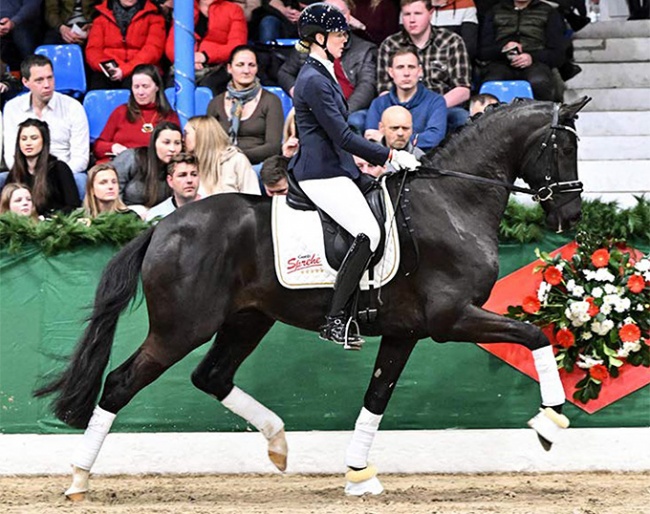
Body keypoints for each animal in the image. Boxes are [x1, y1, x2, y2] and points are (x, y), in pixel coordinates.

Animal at [38, 97, 588, 496]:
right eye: (562, 147)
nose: (572, 215)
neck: (451, 203)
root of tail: (163, 226)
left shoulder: (405, 332)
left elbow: (376, 399)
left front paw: (359, 476)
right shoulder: (451, 319)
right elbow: (535, 334)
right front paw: (550, 423)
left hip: (246, 320)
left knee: (211, 376)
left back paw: (279, 444)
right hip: (181, 327)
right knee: (120, 384)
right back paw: (78, 479)